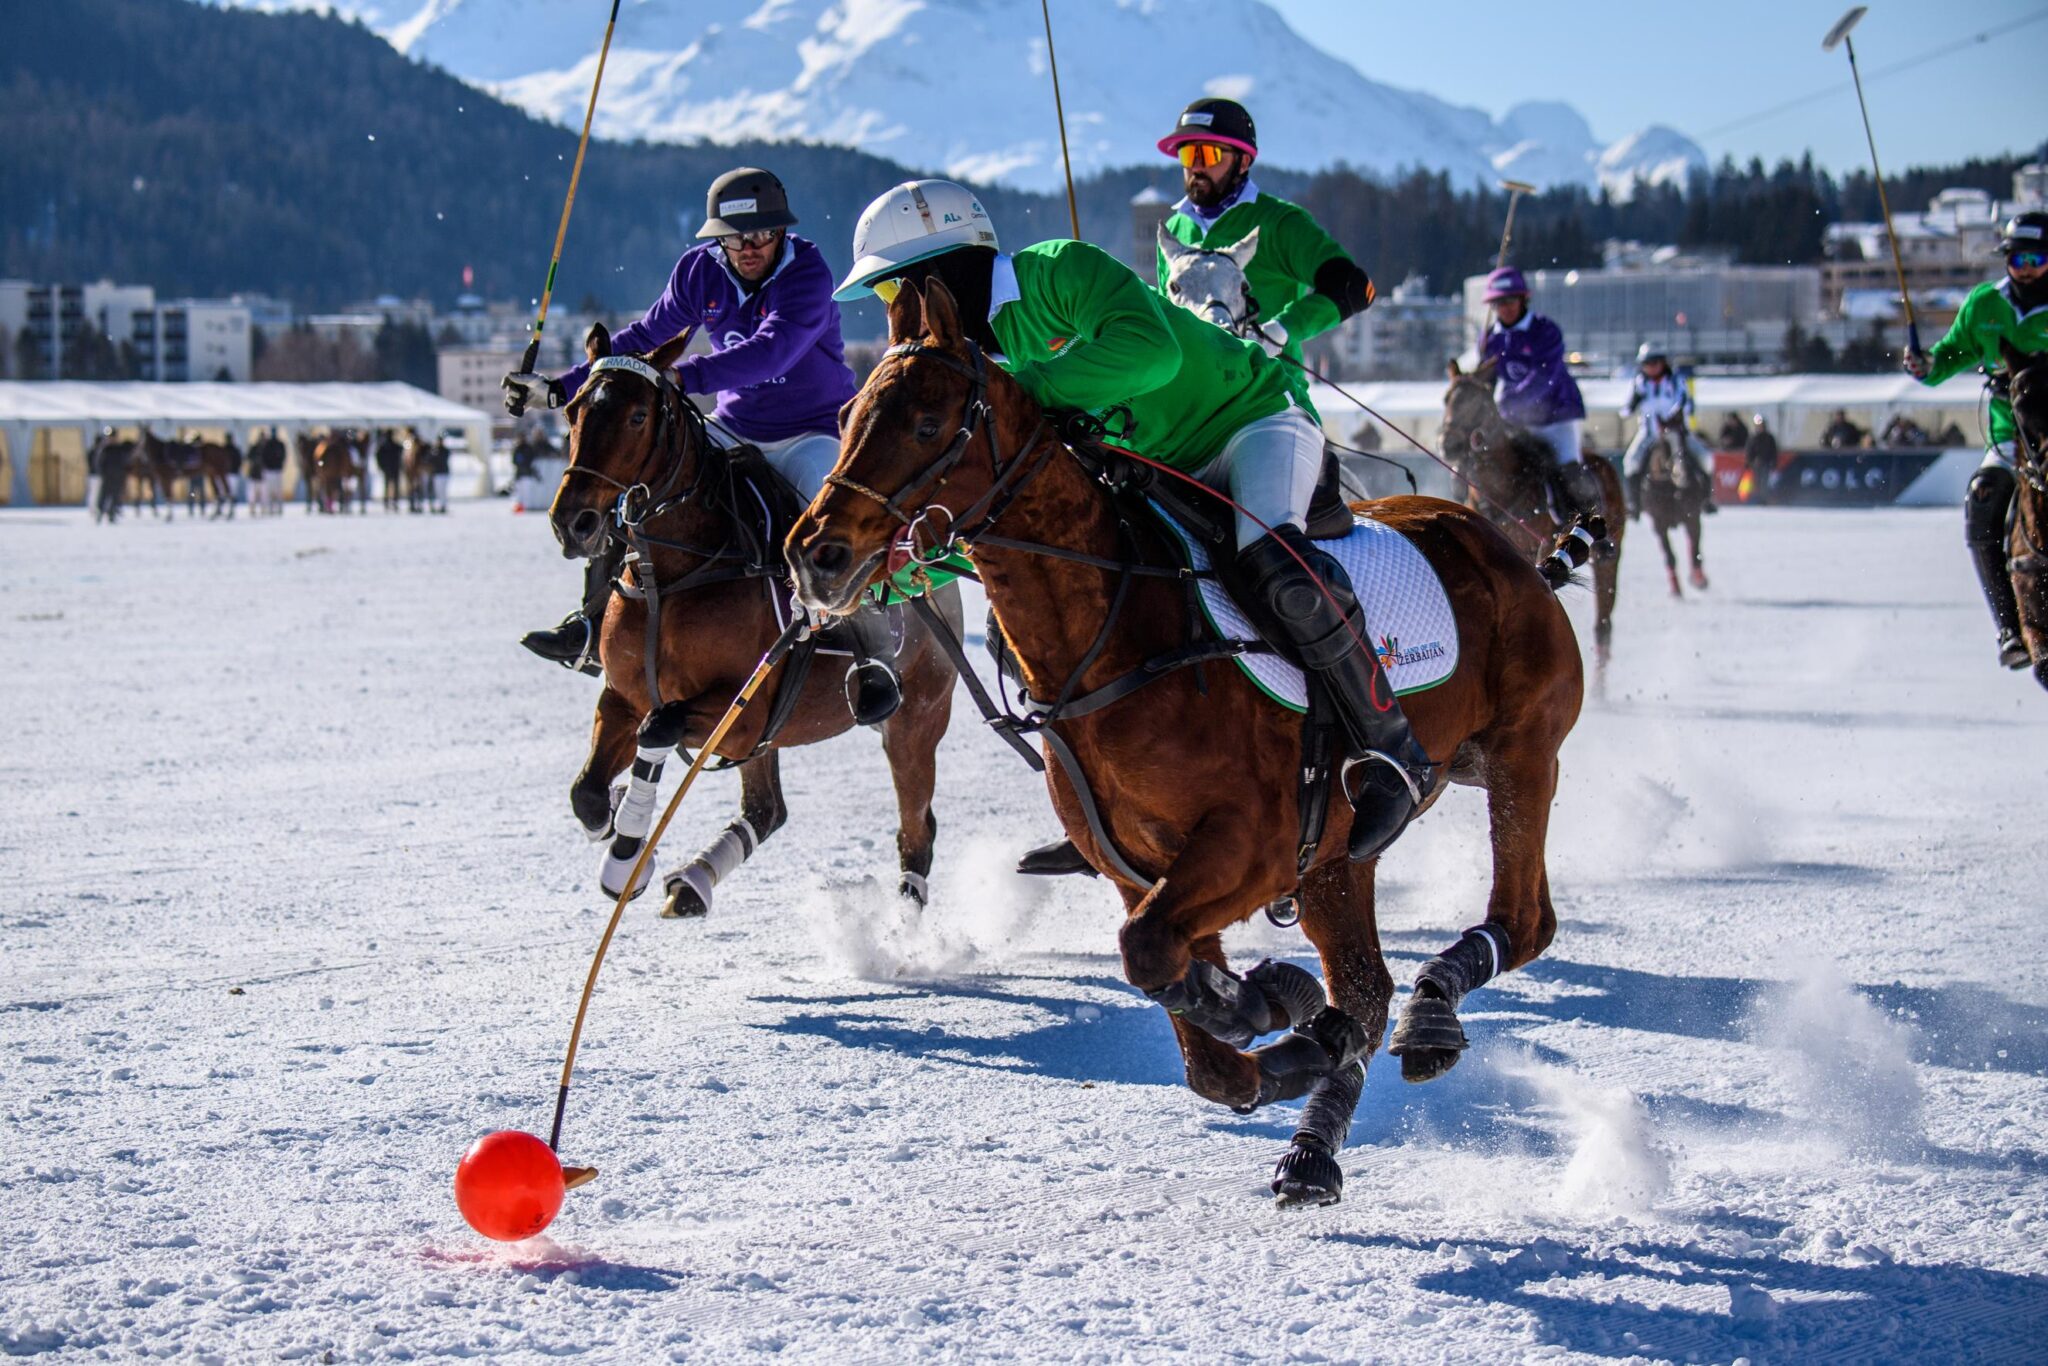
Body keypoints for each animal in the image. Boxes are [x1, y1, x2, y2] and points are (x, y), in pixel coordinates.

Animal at [544, 321, 958, 917]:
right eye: (574, 409)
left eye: (638, 416)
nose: (571, 522)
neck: (675, 572)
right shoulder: (625, 695)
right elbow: (589, 795)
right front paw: (632, 841)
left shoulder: (743, 713)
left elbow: (658, 728)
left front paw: (626, 856)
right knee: (767, 808)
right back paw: (691, 883)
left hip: (916, 719)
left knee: (916, 828)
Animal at [782, 280, 1581, 1204]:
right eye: (848, 415)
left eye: (923, 421)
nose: (814, 554)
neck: (1119, 635)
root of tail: (1495, 538)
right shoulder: (1142, 868)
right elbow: (1202, 1045)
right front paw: (1281, 1018)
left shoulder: (1252, 845)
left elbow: (1151, 957)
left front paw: (1271, 1005)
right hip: (1340, 854)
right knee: (1366, 986)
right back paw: (1315, 1139)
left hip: (1522, 755)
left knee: (1522, 921)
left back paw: (1430, 1012)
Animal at [1441, 360, 1613, 663]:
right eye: (1446, 398)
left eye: (1477, 402)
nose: (1448, 444)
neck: (1501, 488)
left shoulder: (1533, 547)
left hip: (1607, 557)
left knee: (1603, 624)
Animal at [1646, 423, 1712, 593]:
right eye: (1664, 443)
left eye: (1684, 437)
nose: (1682, 474)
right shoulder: (1659, 524)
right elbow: (1670, 556)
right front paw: (1676, 589)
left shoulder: (1692, 516)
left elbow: (1695, 549)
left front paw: (1699, 579)